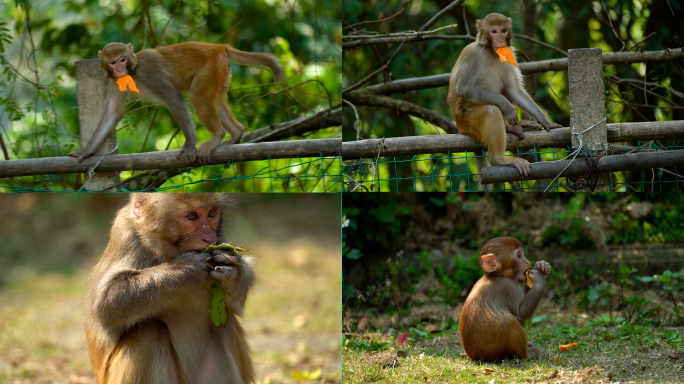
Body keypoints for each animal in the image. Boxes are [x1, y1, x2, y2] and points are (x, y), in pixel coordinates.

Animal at [67, 41, 286, 164]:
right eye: (112, 62)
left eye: (122, 59)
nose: (120, 70)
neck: (135, 70)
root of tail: (219, 47)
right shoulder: (114, 83)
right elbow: (111, 114)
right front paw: (86, 152)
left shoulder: (151, 74)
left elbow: (174, 99)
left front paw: (189, 145)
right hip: (222, 72)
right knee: (215, 100)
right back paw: (235, 133)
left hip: (211, 69)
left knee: (197, 95)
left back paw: (217, 136)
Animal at [85, 195, 255, 384]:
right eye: (192, 216)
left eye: (212, 213)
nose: (209, 236)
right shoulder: (126, 234)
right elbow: (106, 303)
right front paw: (187, 270)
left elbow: (236, 304)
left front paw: (232, 270)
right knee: (148, 330)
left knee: (225, 320)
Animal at [448, 12, 560, 178]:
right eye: (494, 31)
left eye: (504, 30)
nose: (500, 40)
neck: (492, 52)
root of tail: (459, 126)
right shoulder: (474, 54)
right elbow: (465, 88)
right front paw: (505, 105)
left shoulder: (509, 53)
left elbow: (514, 90)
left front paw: (546, 121)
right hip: (466, 121)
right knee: (491, 110)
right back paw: (500, 158)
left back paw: (512, 126)